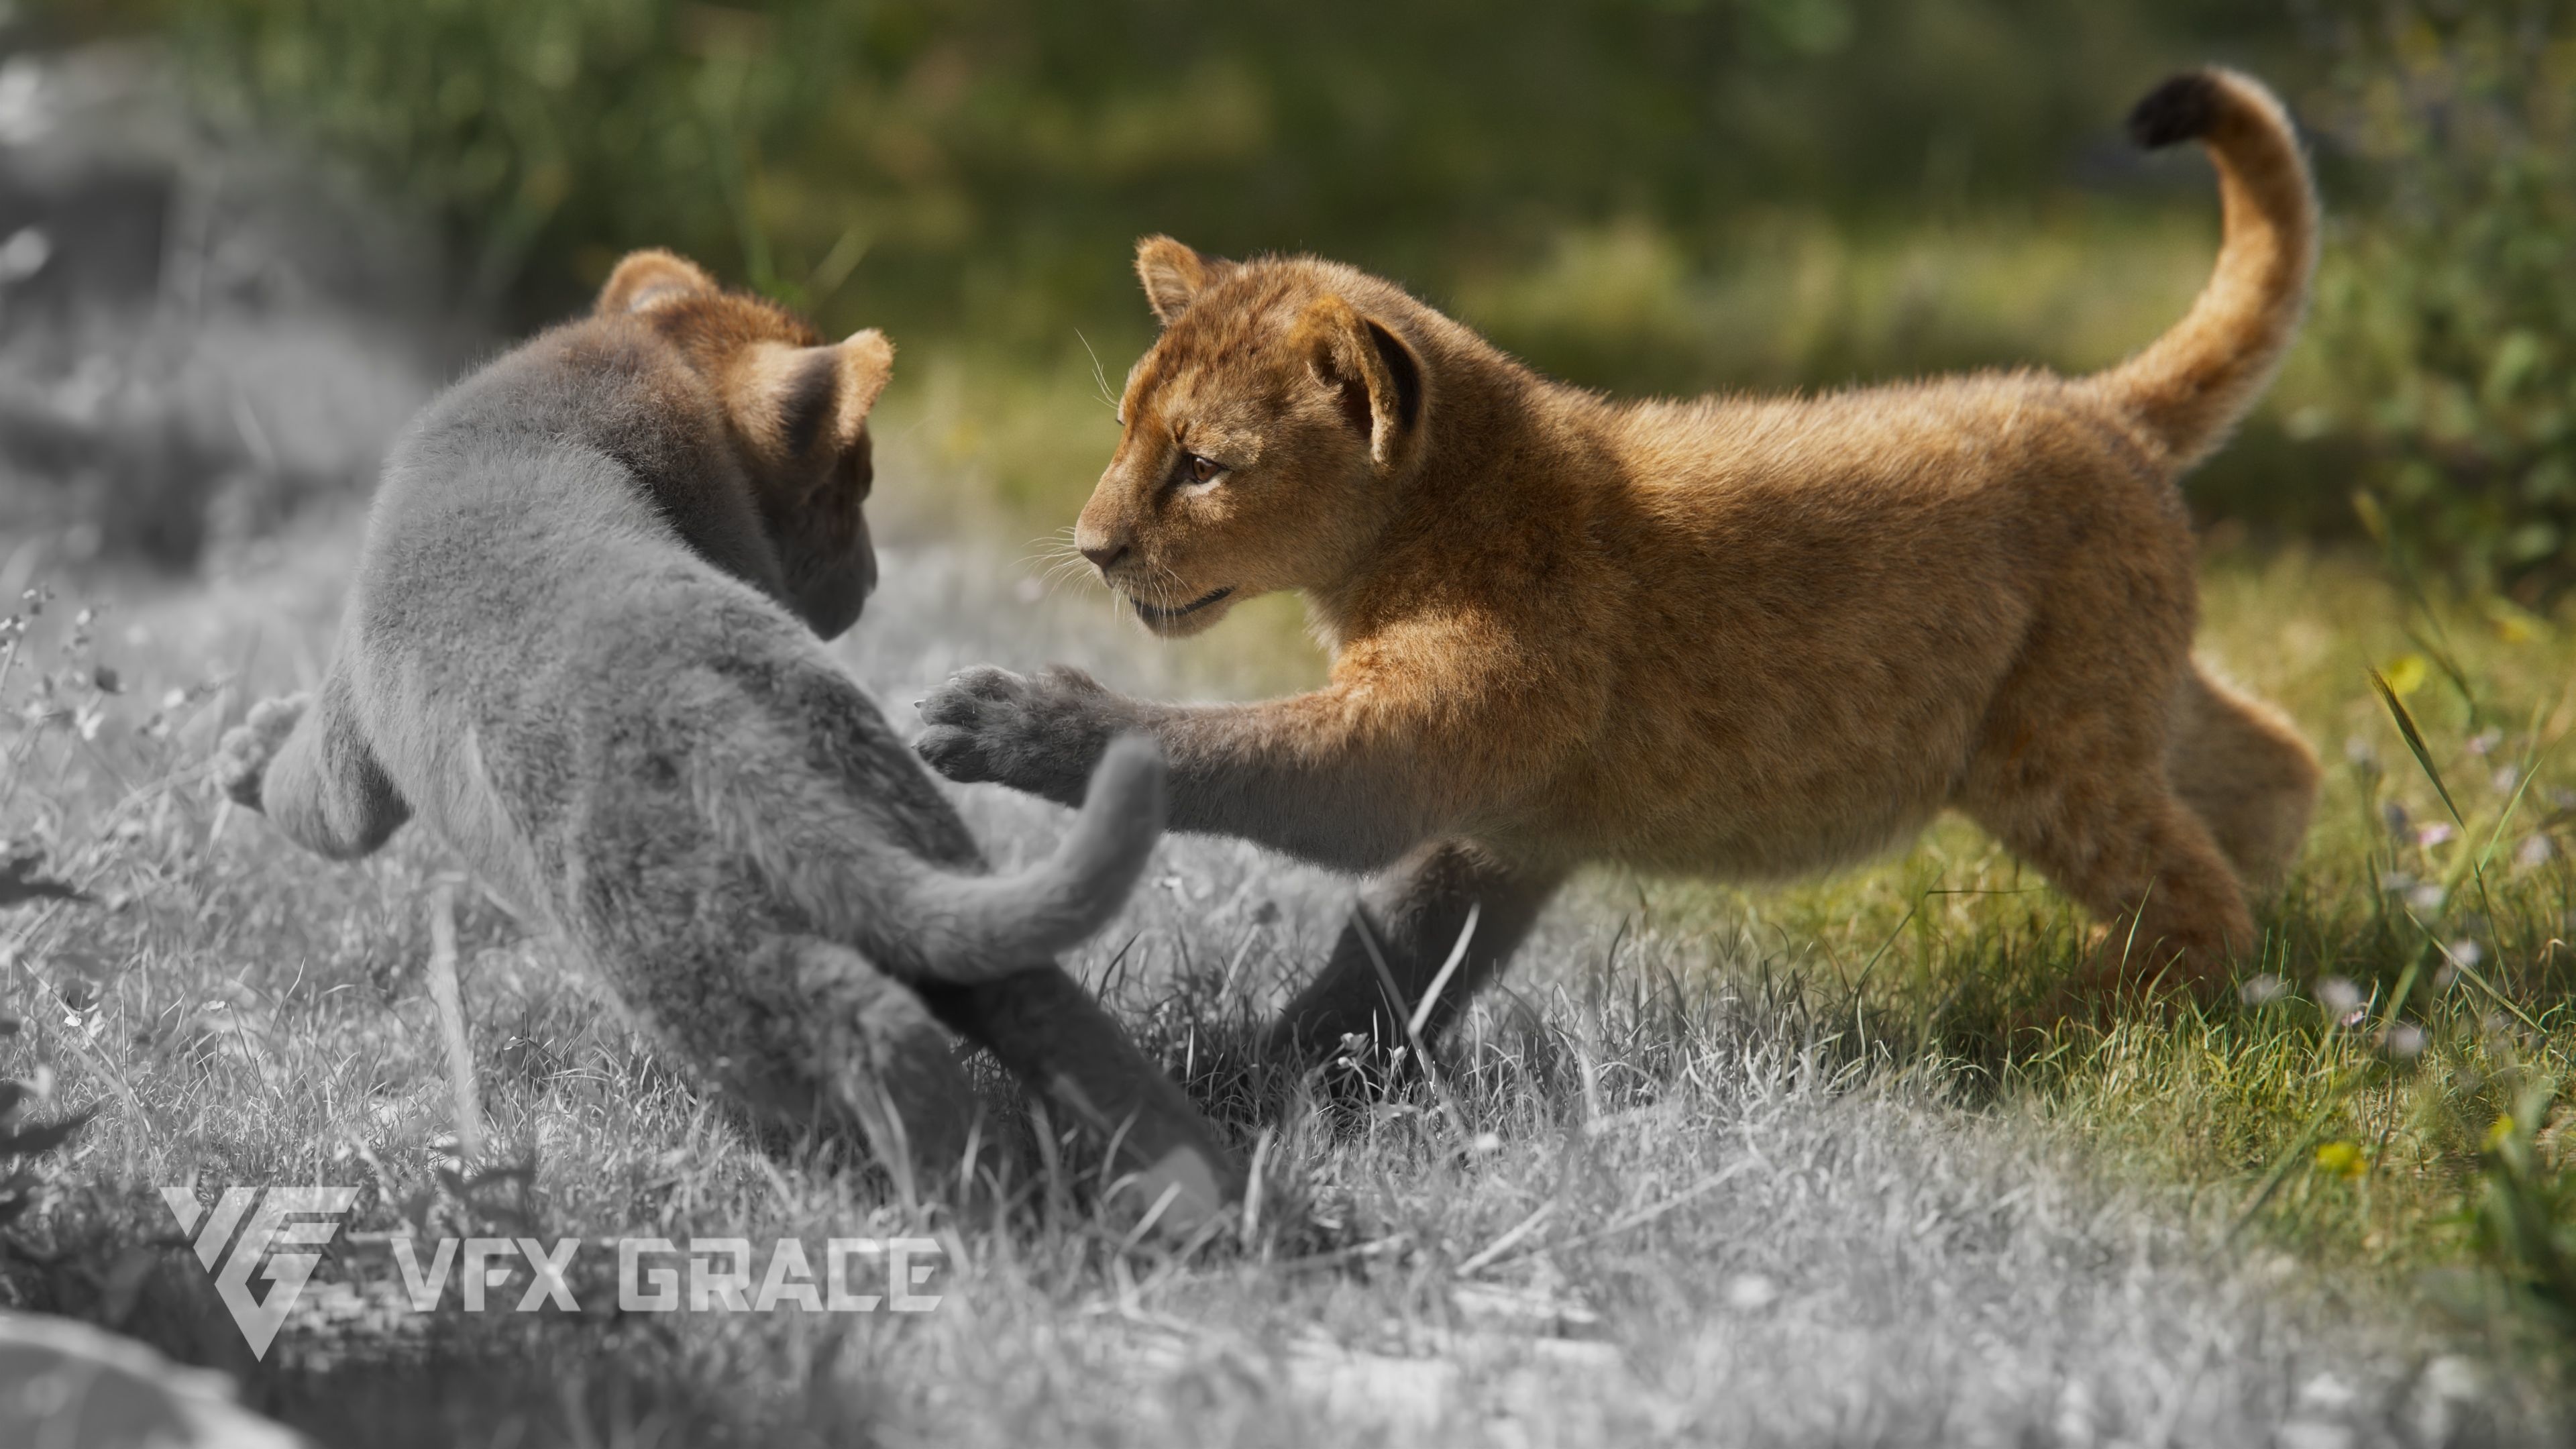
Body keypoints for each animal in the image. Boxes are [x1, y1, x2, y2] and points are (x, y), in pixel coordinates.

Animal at [216, 250, 1235, 1226]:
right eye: (849, 487)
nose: (873, 579)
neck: (651, 360)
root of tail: (712, 724)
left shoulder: (351, 727)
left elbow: (315, 798)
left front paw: (246, 751)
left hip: (706, 976)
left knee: (877, 1032)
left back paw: (972, 1214)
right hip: (917, 862)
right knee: (1039, 1005)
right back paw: (1183, 1184)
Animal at [916, 70, 2324, 1056]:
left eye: (1202, 464)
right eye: (1124, 432)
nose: (1094, 548)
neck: (1429, 513)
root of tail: (2097, 403)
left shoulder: (1424, 735)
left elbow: (1226, 759)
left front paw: (1004, 717)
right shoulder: (1505, 816)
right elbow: (1391, 954)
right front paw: (1289, 1072)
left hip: (2049, 755)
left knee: (2188, 892)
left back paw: (2057, 1020)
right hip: (2111, 699)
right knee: (2275, 767)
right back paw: (2281, 953)